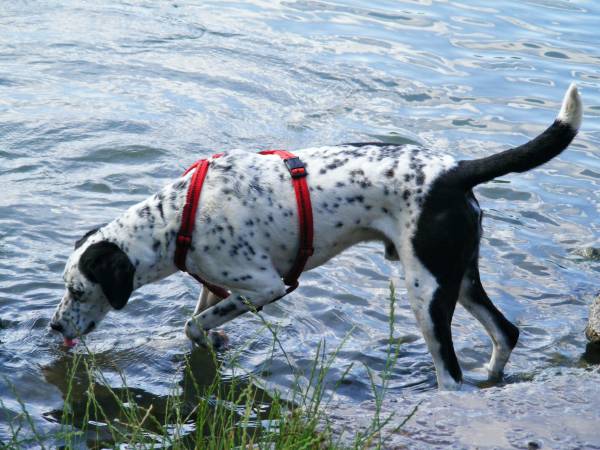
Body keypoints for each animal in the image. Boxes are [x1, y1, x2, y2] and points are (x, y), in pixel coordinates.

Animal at [51, 84, 582, 390]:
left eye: (77, 290)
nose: (53, 328)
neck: (178, 217)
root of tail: (455, 171)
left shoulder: (268, 286)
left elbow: (192, 324)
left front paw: (210, 336)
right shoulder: (216, 284)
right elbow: (199, 323)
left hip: (428, 294)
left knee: (451, 373)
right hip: (460, 277)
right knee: (506, 333)